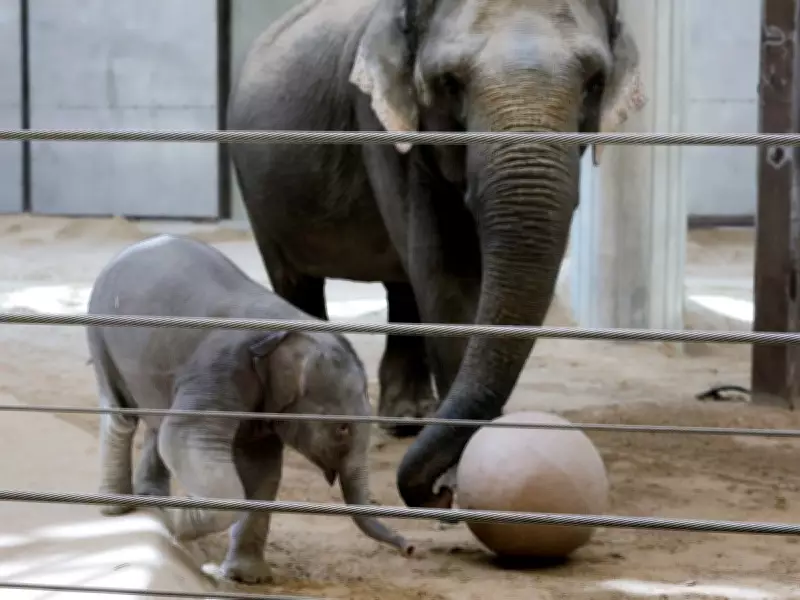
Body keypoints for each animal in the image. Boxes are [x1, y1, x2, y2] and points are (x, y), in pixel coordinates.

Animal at [86, 234, 412, 584]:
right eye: (342, 428)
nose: (409, 547)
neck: (291, 328)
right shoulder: (218, 369)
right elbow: (183, 437)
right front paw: (179, 521)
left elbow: (262, 469)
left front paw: (246, 577)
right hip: (100, 333)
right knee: (121, 415)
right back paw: (117, 507)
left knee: (154, 423)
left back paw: (152, 500)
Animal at [227, 0, 646, 511]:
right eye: (449, 82)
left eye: (594, 83)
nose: (435, 496)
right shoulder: (380, 122)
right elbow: (448, 271)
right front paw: (464, 471)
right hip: (257, 190)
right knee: (296, 282)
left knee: (402, 284)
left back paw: (408, 419)